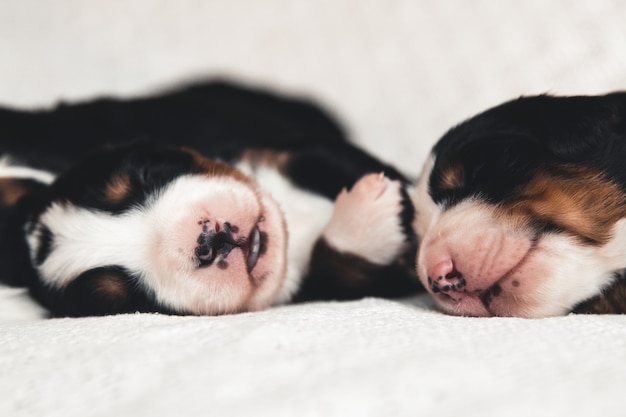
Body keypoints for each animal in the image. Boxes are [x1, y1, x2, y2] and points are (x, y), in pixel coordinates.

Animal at [2, 80, 420, 316]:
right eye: (128, 299)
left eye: (145, 173)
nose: (209, 240)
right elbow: (339, 270)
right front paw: (368, 217)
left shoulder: (286, 151)